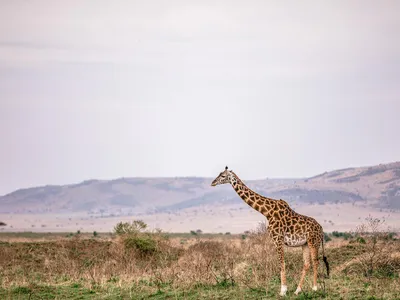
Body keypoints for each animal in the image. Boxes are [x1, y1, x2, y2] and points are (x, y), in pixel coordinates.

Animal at [211, 168, 330, 296]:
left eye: (223, 176)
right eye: (219, 174)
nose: (212, 183)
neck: (267, 212)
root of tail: (321, 229)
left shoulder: (278, 239)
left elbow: (281, 263)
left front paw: (283, 291)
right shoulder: (278, 240)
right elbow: (282, 263)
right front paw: (285, 290)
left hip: (313, 242)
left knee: (315, 261)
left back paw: (315, 288)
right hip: (305, 244)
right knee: (307, 263)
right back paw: (297, 290)